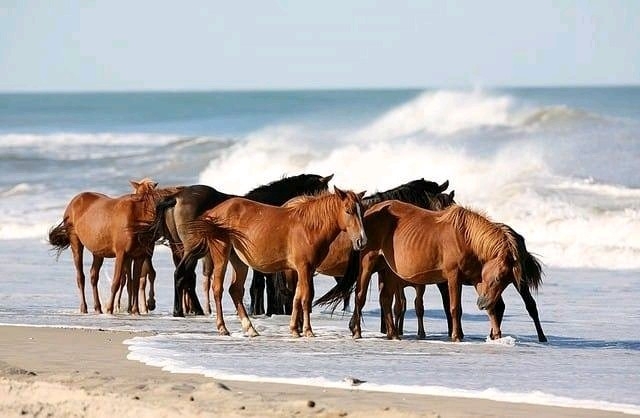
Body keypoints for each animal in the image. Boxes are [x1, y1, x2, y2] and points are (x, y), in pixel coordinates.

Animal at [48, 179, 179, 314]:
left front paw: (135, 310)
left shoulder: (139, 256)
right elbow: (116, 282)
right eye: (139, 197)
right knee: (80, 277)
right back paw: (84, 308)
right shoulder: (122, 254)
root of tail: (74, 200)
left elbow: (135, 283)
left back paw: (98, 308)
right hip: (76, 243)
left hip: (98, 252)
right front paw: (110, 309)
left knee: (94, 276)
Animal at [147, 173, 334, 317]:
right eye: (322, 190)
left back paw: (194, 310)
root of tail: (176, 197)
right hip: (194, 248)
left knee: (187, 276)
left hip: (179, 247)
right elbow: (265, 284)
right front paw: (268, 311)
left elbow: (262, 284)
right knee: (182, 274)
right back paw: (180, 311)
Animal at [182, 187, 367, 337]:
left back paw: (250, 328)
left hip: (239, 261)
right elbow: (306, 298)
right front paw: (307, 330)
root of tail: (214, 211)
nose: (362, 241)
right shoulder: (304, 268)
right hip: (221, 254)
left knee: (235, 290)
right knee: (217, 289)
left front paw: (294, 329)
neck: (309, 226)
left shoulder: (303, 269)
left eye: (361, 211)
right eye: (349, 211)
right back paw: (222, 328)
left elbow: (297, 297)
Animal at [315, 201, 544, 342]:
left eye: (506, 280)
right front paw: (457, 336)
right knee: (361, 295)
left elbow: (493, 310)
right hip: (369, 264)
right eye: (498, 277)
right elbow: (455, 308)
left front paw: (496, 335)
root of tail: (369, 213)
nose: (481, 303)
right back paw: (357, 331)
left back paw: (393, 334)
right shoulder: (453, 277)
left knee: (385, 300)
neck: (465, 237)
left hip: (387, 271)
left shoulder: (478, 280)